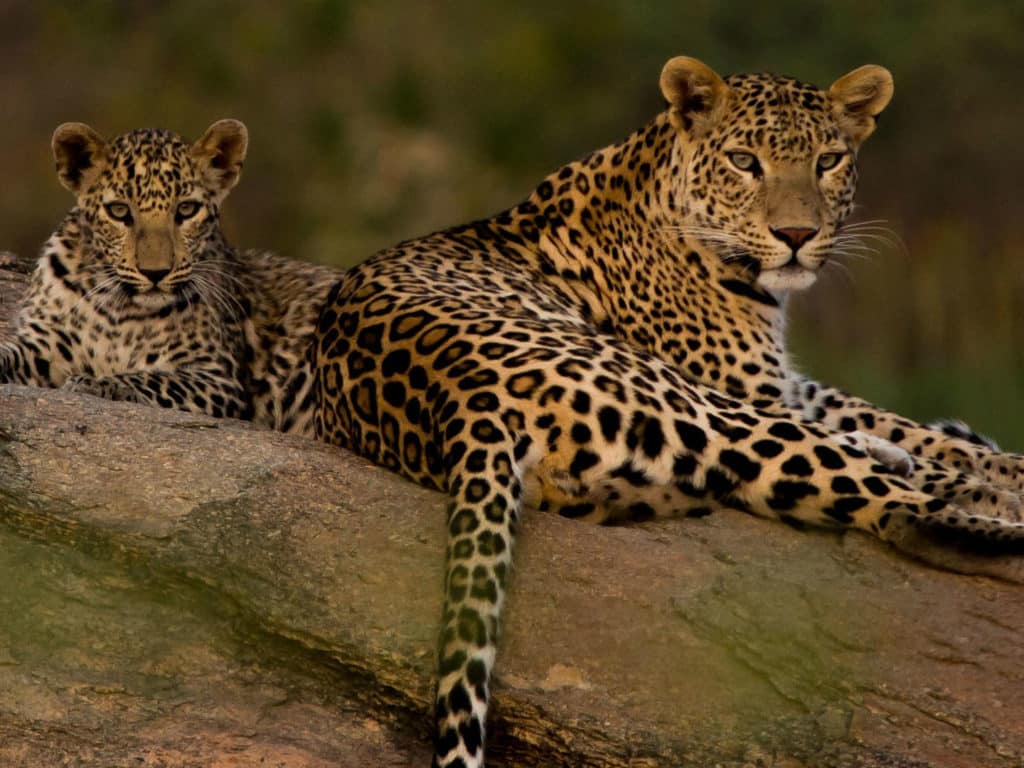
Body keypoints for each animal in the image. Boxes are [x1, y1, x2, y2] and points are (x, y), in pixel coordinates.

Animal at [0, 120, 341, 436]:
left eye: (187, 209)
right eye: (119, 211)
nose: (155, 273)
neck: (119, 309)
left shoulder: (216, 376)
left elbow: (152, 378)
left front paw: (96, 384)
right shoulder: (43, 345)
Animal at [312, 56, 1024, 767]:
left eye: (828, 161)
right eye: (744, 161)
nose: (796, 236)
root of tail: (461, 397)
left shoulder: (787, 384)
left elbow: (902, 425)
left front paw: (987, 457)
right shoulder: (752, 389)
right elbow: (915, 451)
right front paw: (994, 481)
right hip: (695, 401)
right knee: (900, 512)